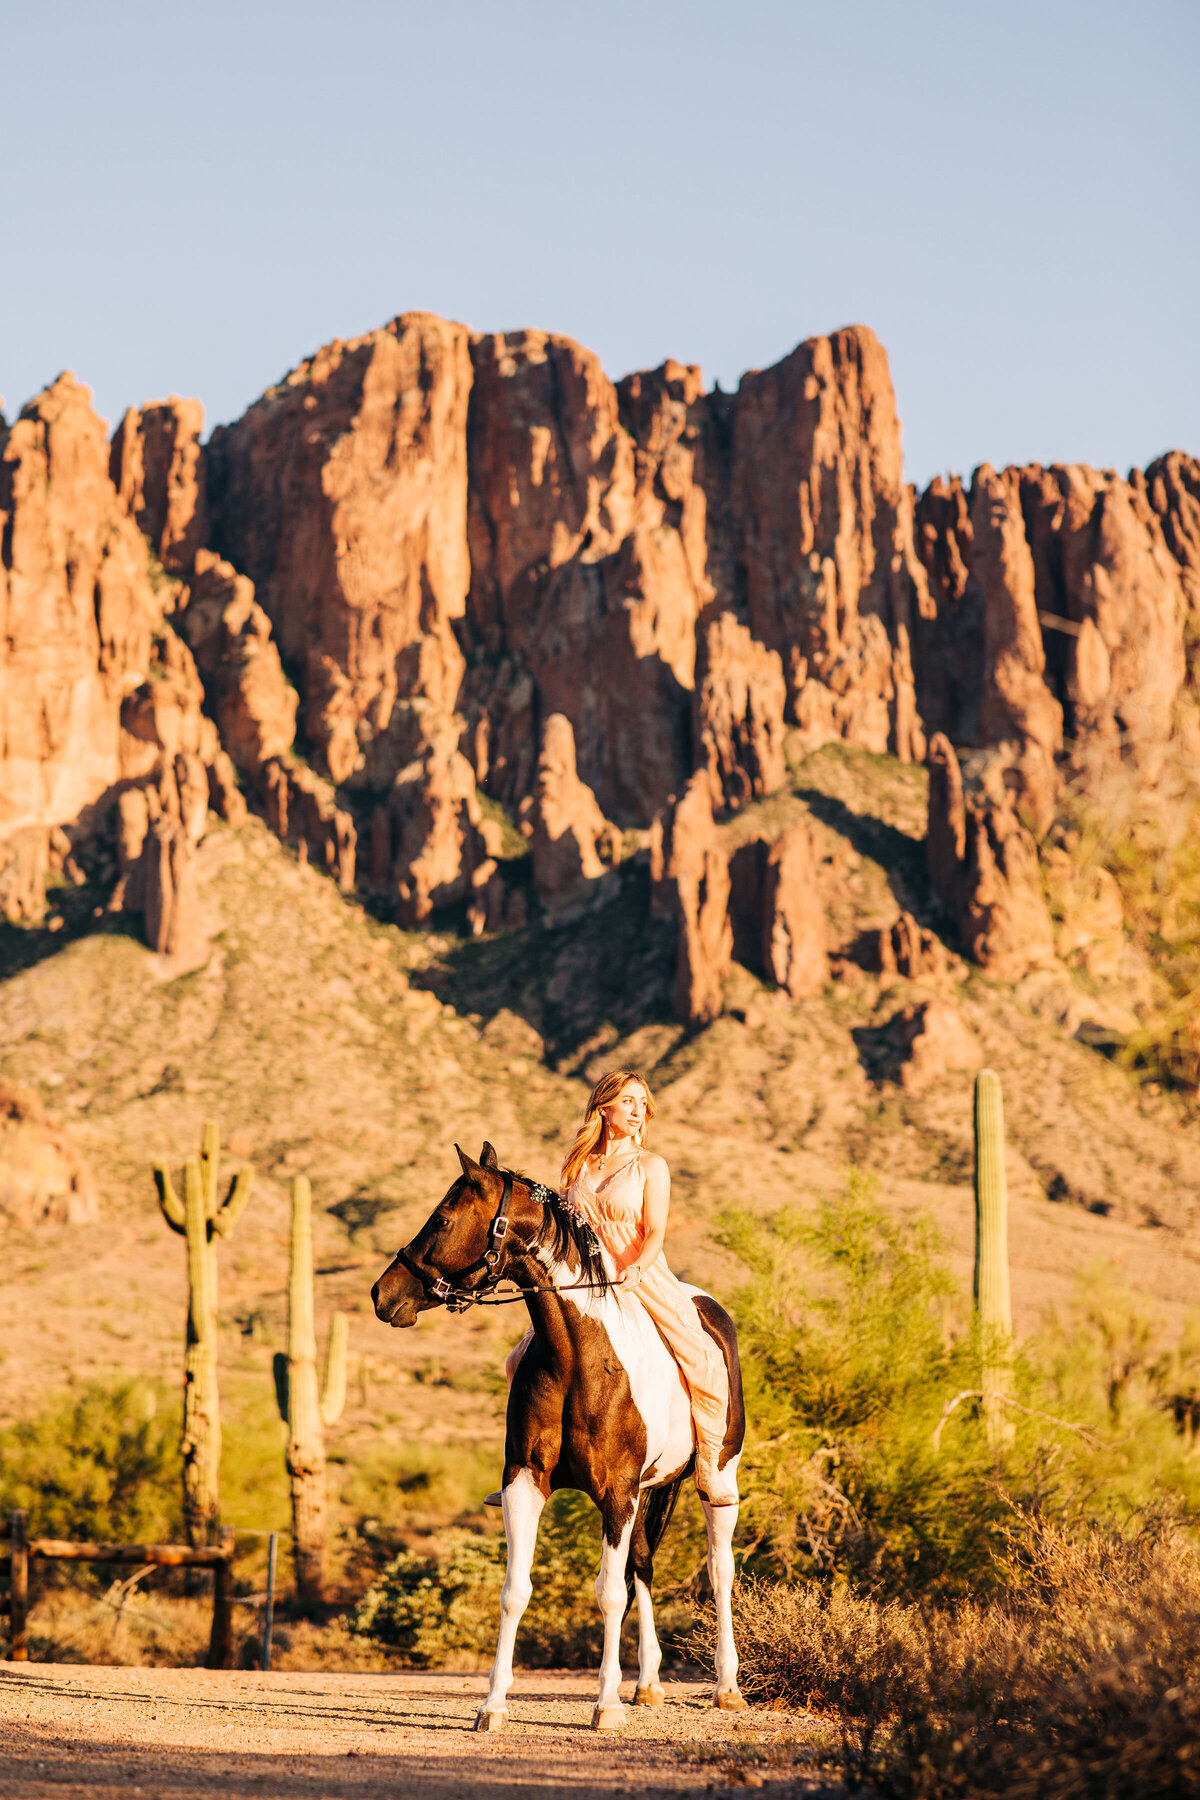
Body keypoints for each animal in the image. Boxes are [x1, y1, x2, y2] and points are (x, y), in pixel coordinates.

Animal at [370, 1137, 744, 1728]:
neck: (577, 1357)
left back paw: (726, 1686)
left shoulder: (616, 1493)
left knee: (719, 1569)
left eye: (443, 1218)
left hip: (715, 1480)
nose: (382, 1294)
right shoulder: (527, 1483)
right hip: (648, 1492)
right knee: (644, 1565)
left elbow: (609, 1593)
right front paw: (493, 1704)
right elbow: (515, 1591)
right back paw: (649, 1684)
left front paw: (605, 1703)